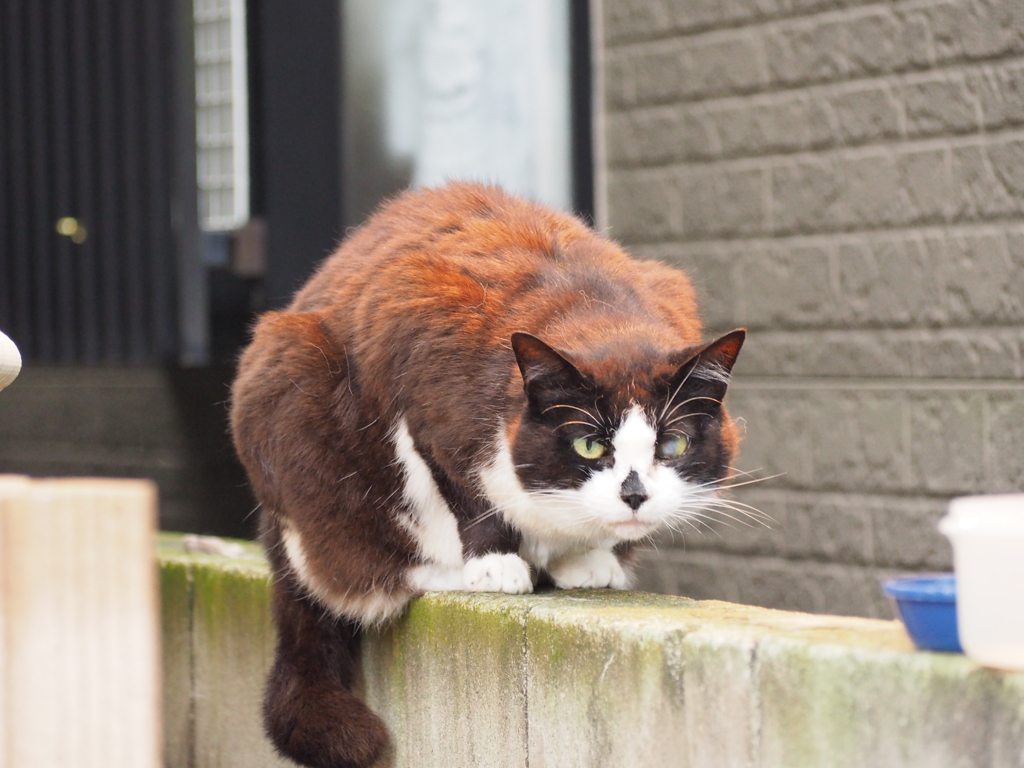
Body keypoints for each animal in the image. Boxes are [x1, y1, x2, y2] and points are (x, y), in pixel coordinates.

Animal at [230, 182, 745, 768]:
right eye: (590, 445)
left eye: (672, 444)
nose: (634, 495)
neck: (594, 308)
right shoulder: (415, 346)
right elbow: (460, 484)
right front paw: (496, 562)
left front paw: (586, 558)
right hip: (290, 387)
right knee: (350, 572)